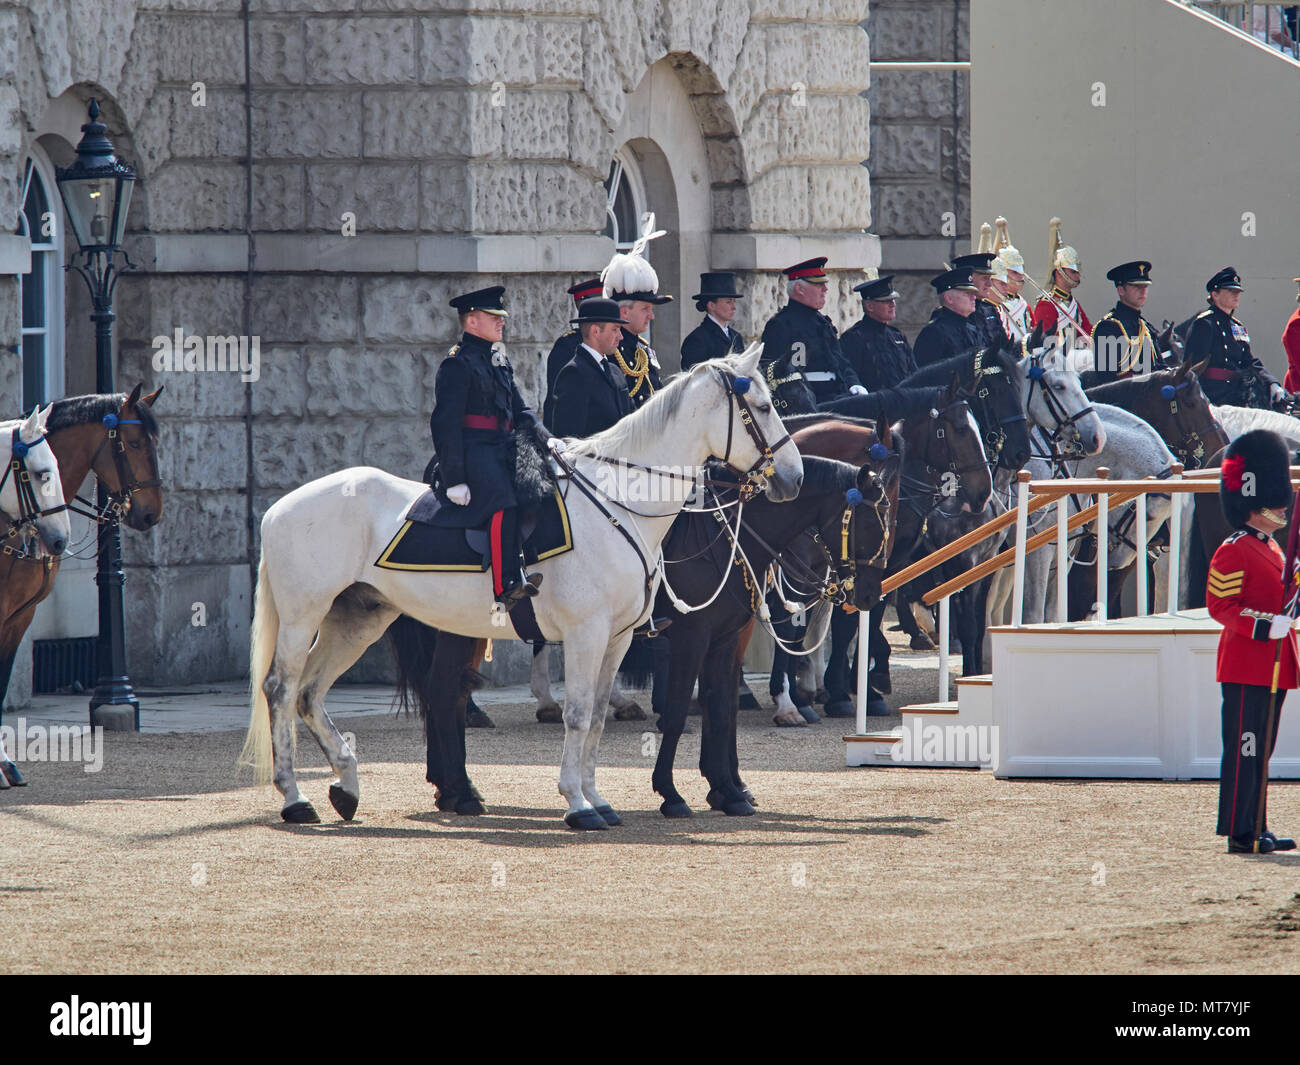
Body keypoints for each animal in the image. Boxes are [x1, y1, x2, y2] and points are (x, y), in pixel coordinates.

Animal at [237, 345, 795, 827]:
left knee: (311, 692)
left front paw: (598, 798)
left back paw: (349, 786)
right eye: (764, 406)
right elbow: (578, 714)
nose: (794, 478)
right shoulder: (590, 633)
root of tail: (280, 507)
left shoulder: (617, 638)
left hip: (359, 618)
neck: (618, 503)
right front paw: (578, 804)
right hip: (304, 615)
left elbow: (596, 715)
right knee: (281, 689)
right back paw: (296, 797)